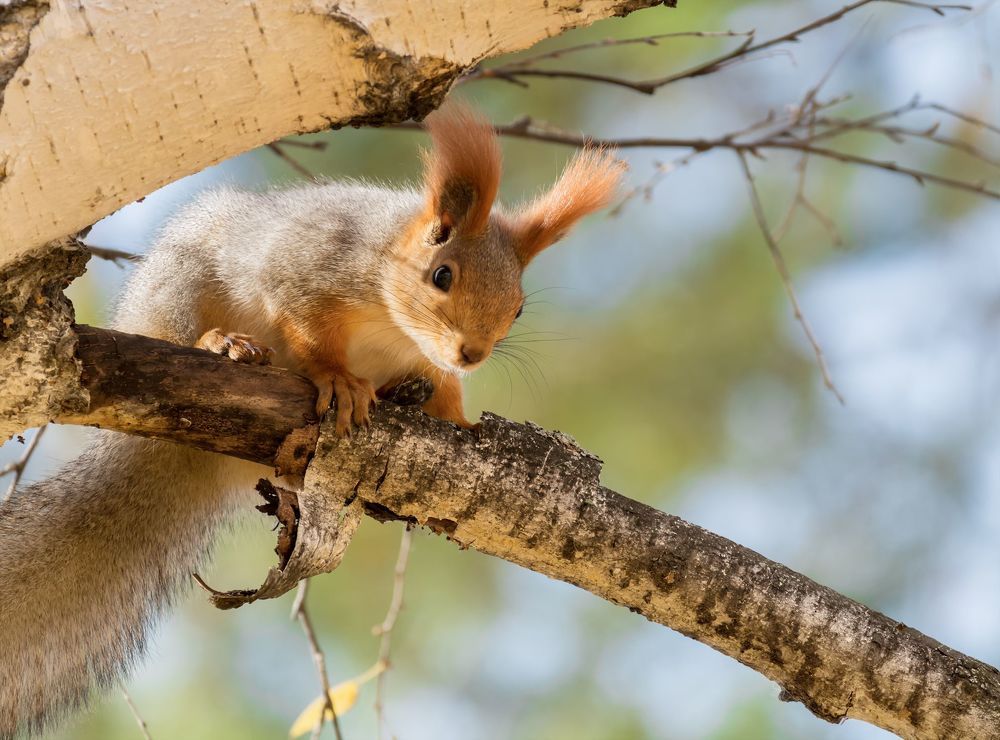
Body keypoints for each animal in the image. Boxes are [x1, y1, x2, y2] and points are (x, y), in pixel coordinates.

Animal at [0, 103, 624, 737]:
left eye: (518, 307)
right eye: (442, 275)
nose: (472, 353)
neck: (393, 322)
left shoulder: (431, 361)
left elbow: (446, 393)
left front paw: (464, 422)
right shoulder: (306, 271)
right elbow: (305, 329)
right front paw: (339, 380)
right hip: (178, 284)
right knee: (177, 329)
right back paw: (226, 345)